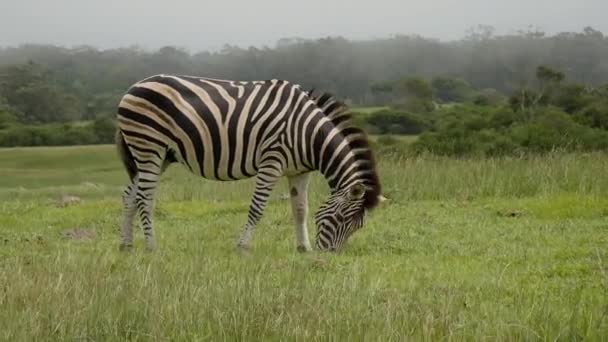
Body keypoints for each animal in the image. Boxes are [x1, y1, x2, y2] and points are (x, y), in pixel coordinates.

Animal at [115, 74, 384, 251]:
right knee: (145, 198)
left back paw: (127, 245)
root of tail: (134, 86)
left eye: (357, 227)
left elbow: (300, 209)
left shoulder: (299, 171)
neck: (308, 133)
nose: (326, 256)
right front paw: (243, 246)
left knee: (130, 195)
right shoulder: (271, 162)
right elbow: (257, 207)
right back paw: (151, 247)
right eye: (339, 218)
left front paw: (302, 248)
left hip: (156, 155)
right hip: (149, 147)